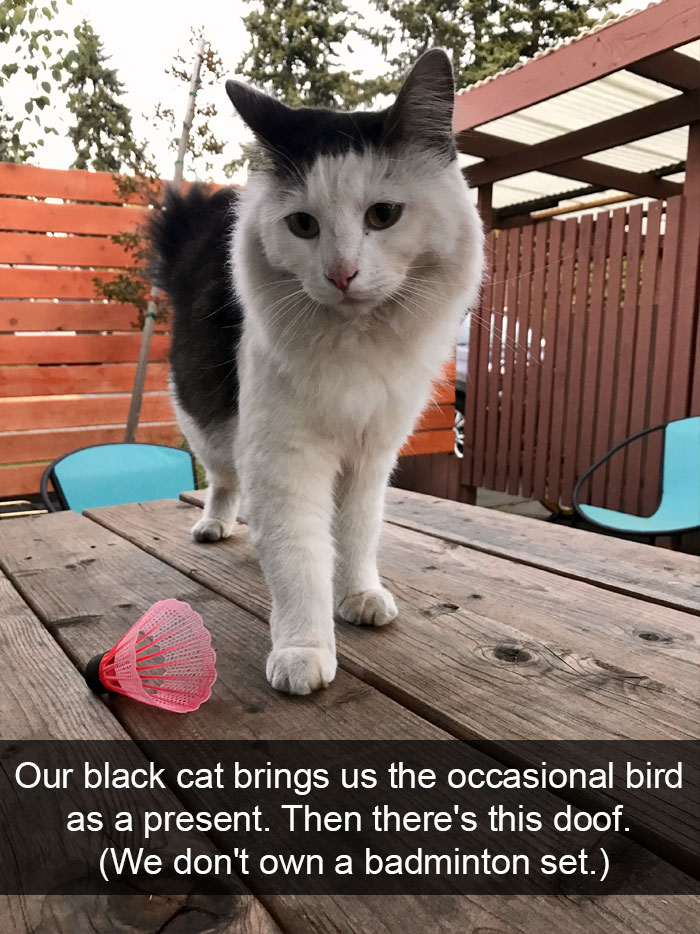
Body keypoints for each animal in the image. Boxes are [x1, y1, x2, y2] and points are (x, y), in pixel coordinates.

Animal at [150, 47, 484, 700]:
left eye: (384, 215)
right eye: (303, 226)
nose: (341, 274)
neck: (355, 346)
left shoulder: (371, 454)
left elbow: (355, 534)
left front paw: (358, 596)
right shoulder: (285, 456)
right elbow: (299, 560)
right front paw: (303, 650)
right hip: (209, 420)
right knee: (223, 481)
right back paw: (216, 525)